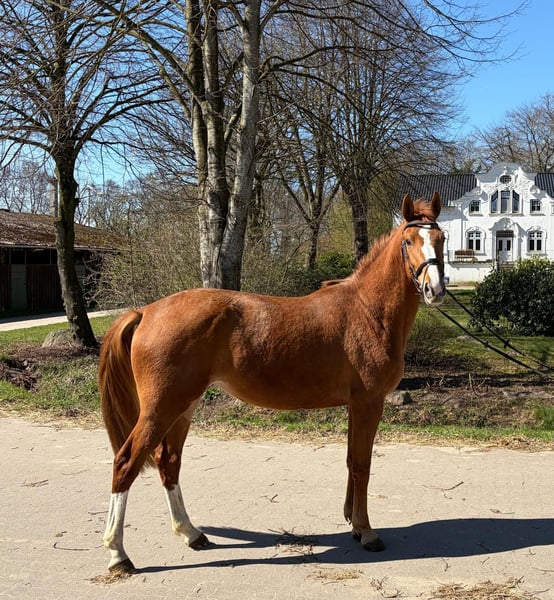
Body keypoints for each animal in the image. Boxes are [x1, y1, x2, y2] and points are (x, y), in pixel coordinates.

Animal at [99, 192, 445, 574]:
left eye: (441, 238)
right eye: (408, 241)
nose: (435, 289)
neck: (368, 311)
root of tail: (145, 312)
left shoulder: (356, 406)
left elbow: (352, 462)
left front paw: (354, 524)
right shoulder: (369, 403)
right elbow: (362, 465)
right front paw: (367, 532)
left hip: (183, 407)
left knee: (168, 462)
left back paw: (191, 533)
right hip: (160, 409)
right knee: (126, 463)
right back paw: (118, 554)